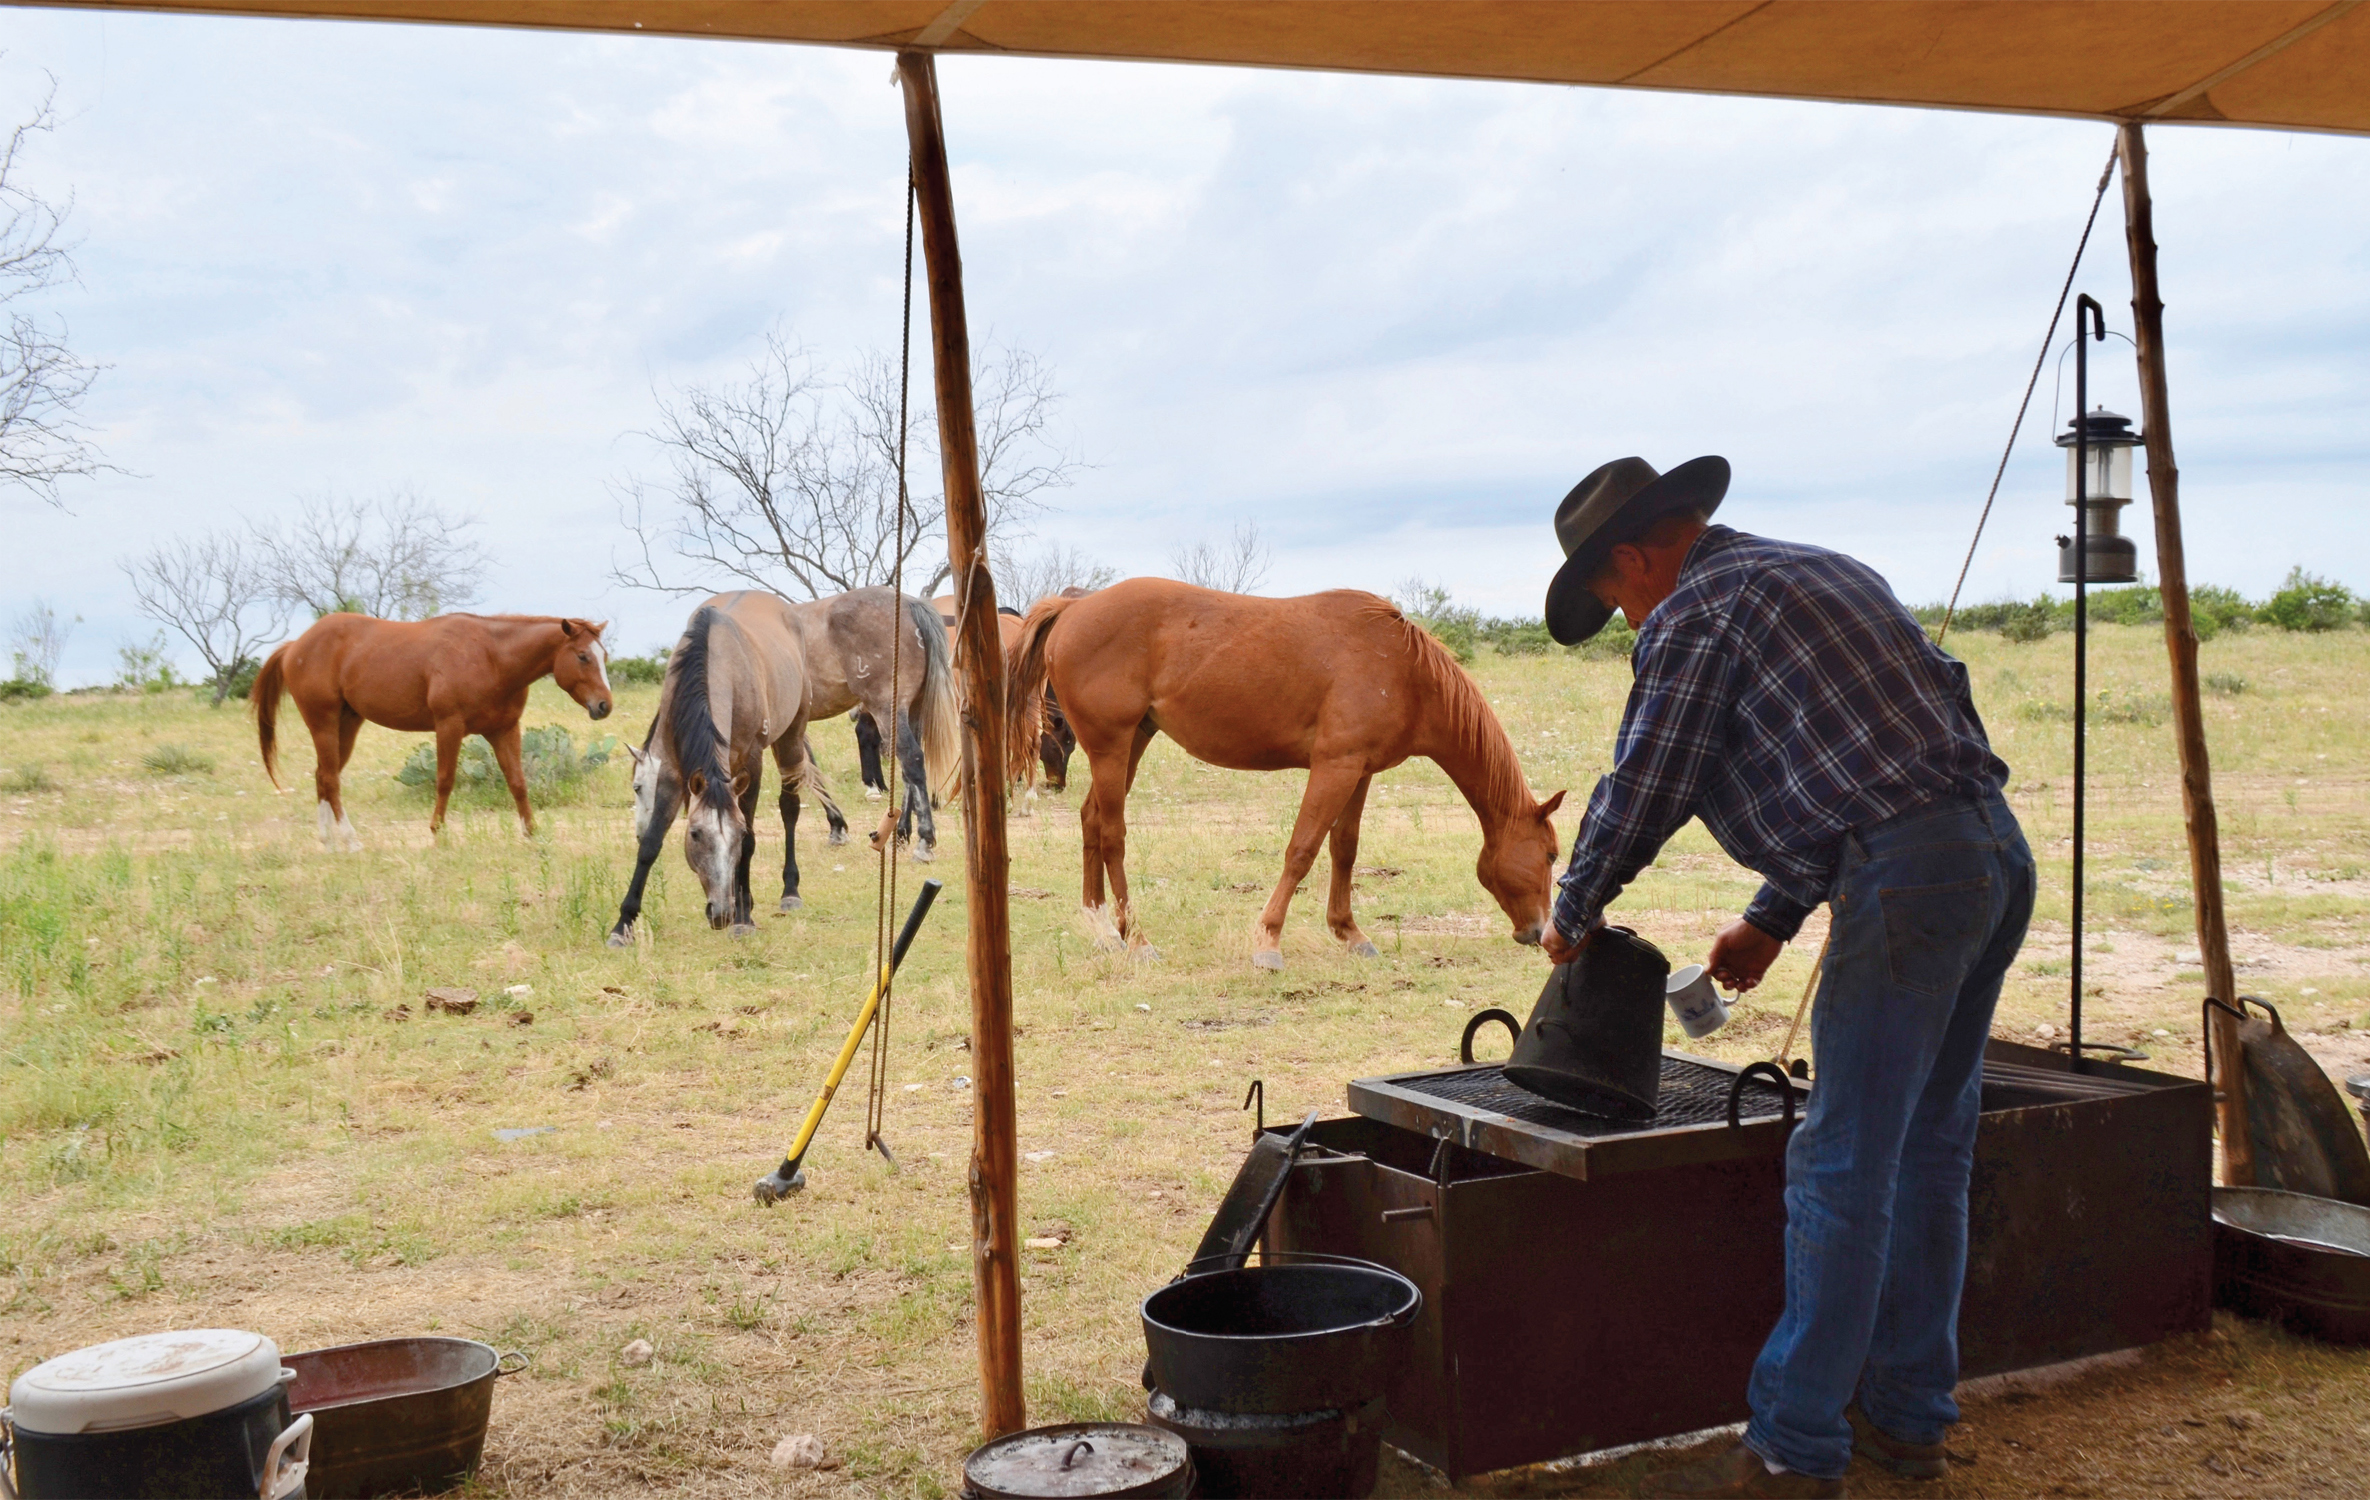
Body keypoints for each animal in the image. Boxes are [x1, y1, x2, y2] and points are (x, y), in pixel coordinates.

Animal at [254, 606, 616, 843]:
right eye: (582, 656)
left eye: (604, 656)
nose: (604, 705)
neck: (491, 657)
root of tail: (295, 646)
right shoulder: (449, 726)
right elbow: (444, 780)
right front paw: (437, 832)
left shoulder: (504, 730)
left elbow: (518, 782)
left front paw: (531, 833)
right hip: (324, 723)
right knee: (329, 778)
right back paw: (349, 838)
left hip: (347, 724)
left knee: (323, 776)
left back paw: (328, 840)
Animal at [625, 585, 966, 938]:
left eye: (637, 787)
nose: (638, 833)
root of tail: (910, 603)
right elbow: (812, 771)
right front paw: (838, 825)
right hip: (911, 708)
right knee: (911, 767)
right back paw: (902, 831)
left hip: (887, 707)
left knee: (911, 759)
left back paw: (923, 840)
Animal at [1009, 573, 1564, 971]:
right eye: (1552, 855)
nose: (1539, 932)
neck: (1403, 670)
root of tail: (1074, 607)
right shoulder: (1334, 767)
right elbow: (1302, 850)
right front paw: (1268, 942)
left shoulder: (1360, 771)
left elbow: (1344, 849)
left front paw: (1350, 933)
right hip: (1111, 745)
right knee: (1112, 835)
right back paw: (1138, 939)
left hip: (1132, 742)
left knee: (1090, 821)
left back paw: (1103, 930)